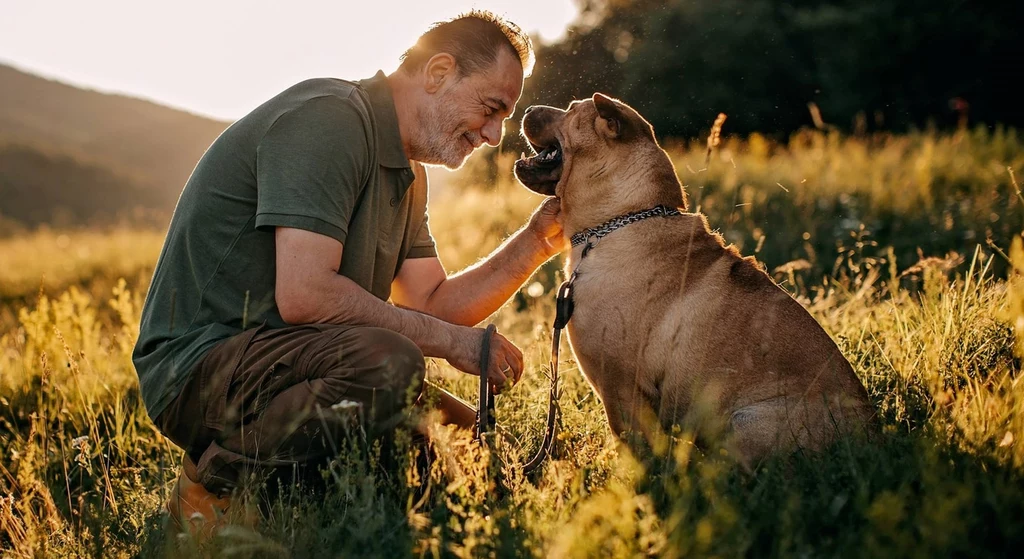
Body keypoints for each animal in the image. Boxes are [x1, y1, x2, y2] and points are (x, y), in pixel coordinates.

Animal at [512, 93, 872, 462]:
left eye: (571, 110)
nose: (527, 108)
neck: (619, 221)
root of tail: (870, 433)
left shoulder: (620, 388)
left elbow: (636, 446)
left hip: (745, 422)